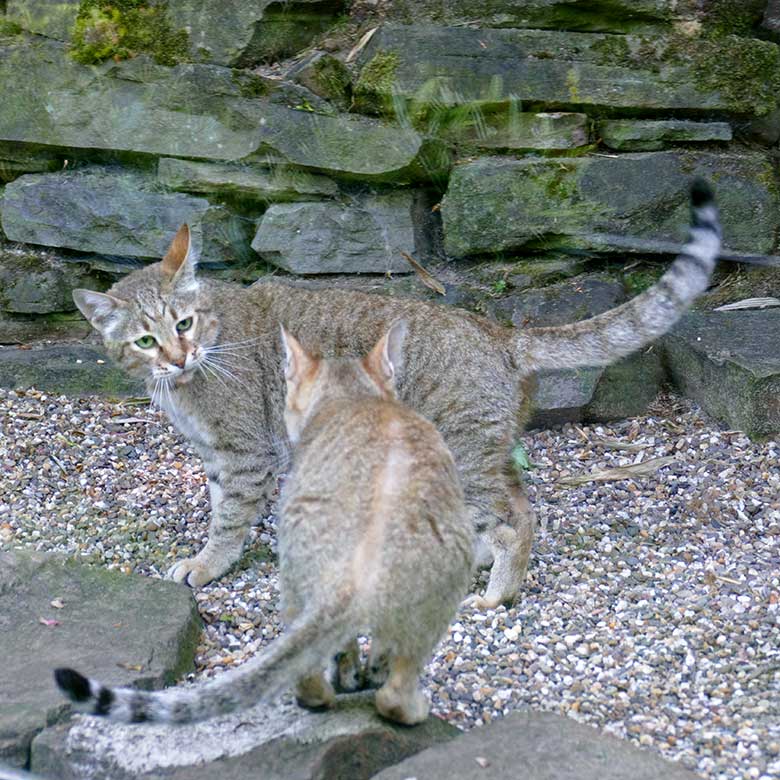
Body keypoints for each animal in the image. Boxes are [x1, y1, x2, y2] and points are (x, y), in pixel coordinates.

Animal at [71, 180, 720, 608]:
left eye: (184, 324)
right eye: (147, 339)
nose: (179, 356)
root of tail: (499, 333)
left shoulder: (243, 454)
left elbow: (228, 519)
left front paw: (208, 566)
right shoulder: (214, 455)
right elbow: (218, 503)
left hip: (459, 454)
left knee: (516, 522)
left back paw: (493, 595)